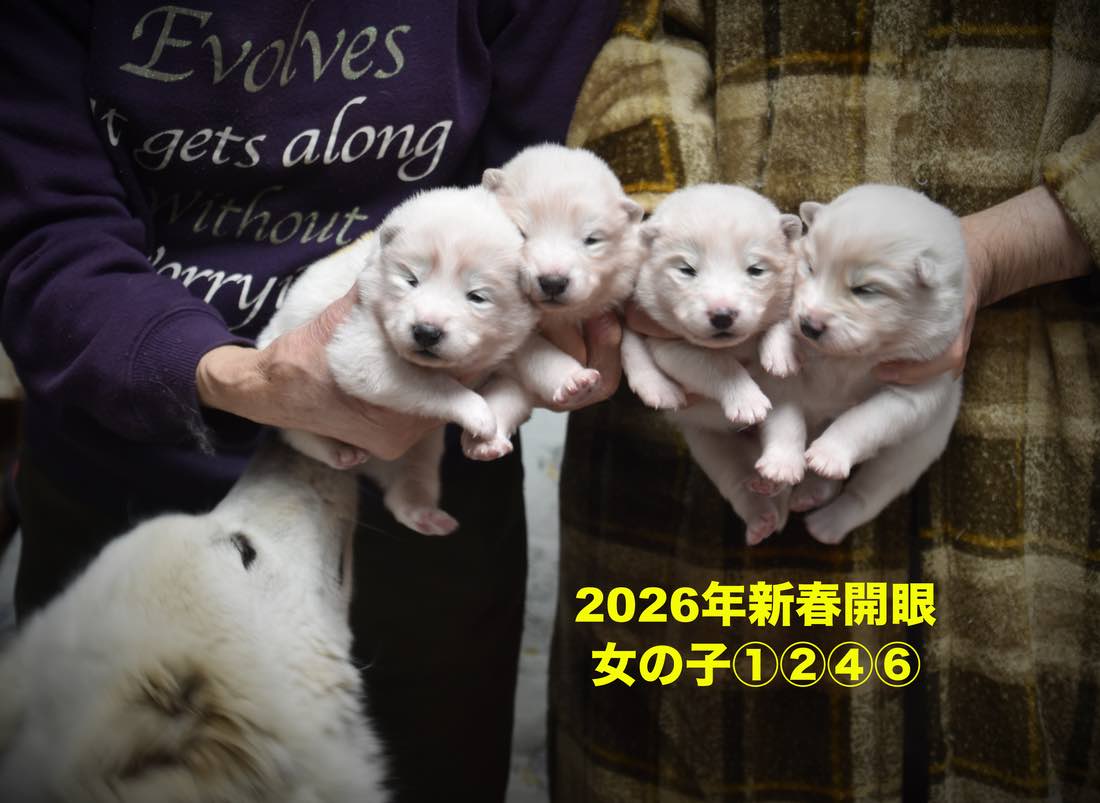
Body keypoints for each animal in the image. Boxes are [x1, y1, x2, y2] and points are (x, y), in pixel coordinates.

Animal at [258, 186, 537, 535]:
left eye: (476, 296)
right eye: (411, 279)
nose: (426, 332)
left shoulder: (505, 357)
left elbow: (512, 391)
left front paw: (490, 439)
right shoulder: (357, 342)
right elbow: (431, 383)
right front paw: (477, 412)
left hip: (420, 450)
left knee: (408, 484)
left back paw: (425, 515)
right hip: (290, 398)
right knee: (301, 434)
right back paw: (339, 452)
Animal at [621, 184, 802, 544]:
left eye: (756, 269)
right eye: (687, 269)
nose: (722, 315)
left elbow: (784, 316)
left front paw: (779, 352)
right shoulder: (669, 344)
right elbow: (717, 364)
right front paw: (746, 400)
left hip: (783, 409)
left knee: (786, 426)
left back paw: (778, 472)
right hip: (709, 444)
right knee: (735, 478)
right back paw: (760, 514)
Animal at [763, 184, 966, 544]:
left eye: (865, 289)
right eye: (810, 268)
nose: (809, 325)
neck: (848, 359)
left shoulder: (915, 385)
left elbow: (862, 420)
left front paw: (828, 454)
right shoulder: (788, 378)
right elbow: (786, 415)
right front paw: (781, 464)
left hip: (907, 455)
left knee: (866, 493)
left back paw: (826, 520)